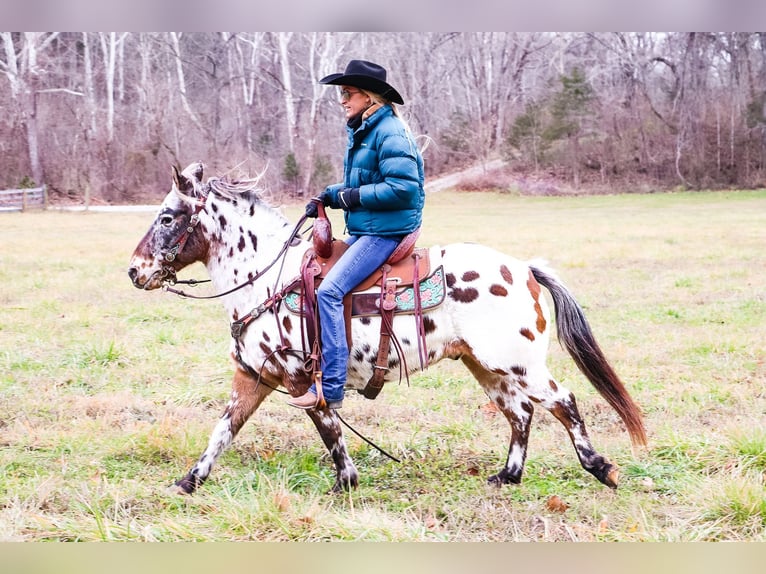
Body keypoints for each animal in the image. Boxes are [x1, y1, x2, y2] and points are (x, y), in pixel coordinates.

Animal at [130, 162, 648, 496]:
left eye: (167, 216)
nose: (135, 271)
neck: (265, 277)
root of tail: (523, 268)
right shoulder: (254, 376)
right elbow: (224, 429)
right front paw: (189, 481)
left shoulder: (301, 379)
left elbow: (327, 426)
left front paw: (346, 482)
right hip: (485, 366)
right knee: (520, 414)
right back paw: (508, 476)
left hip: (518, 364)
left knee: (564, 402)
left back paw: (601, 468)